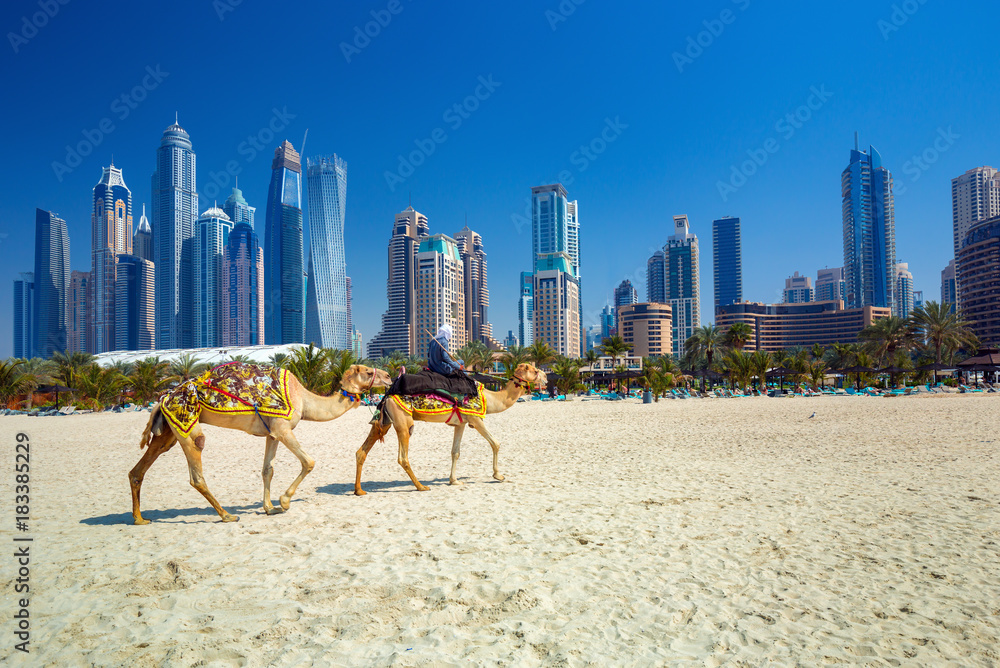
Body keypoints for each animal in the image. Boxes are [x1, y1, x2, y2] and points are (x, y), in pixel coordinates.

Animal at [126, 362, 390, 524]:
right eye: (368, 372)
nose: (388, 376)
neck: (304, 399)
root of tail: (162, 399)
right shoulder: (283, 428)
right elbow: (309, 462)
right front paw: (284, 502)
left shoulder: (271, 433)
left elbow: (267, 470)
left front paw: (269, 507)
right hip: (186, 424)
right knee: (196, 471)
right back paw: (227, 515)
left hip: (169, 431)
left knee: (138, 470)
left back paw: (139, 518)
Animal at [356, 360, 548, 496]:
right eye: (535, 371)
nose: (546, 377)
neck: (492, 398)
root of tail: (387, 395)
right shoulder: (476, 418)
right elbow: (496, 443)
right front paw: (498, 475)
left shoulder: (461, 423)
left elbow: (455, 452)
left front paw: (454, 480)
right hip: (403, 423)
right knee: (403, 457)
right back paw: (421, 487)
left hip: (384, 423)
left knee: (362, 451)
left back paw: (359, 490)